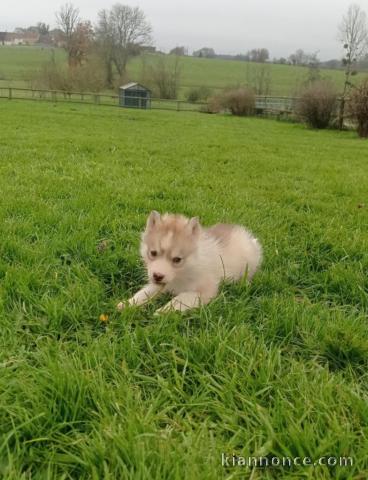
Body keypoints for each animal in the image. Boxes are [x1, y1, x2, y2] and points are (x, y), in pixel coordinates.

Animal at [116, 212, 264, 314]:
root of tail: (247, 235)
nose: (157, 276)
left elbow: (182, 298)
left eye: (177, 260)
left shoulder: (206, 291)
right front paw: (129, 303)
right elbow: (145, 292)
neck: (182, 273)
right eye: (153, 253)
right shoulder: (161, 284)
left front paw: (164, 311)